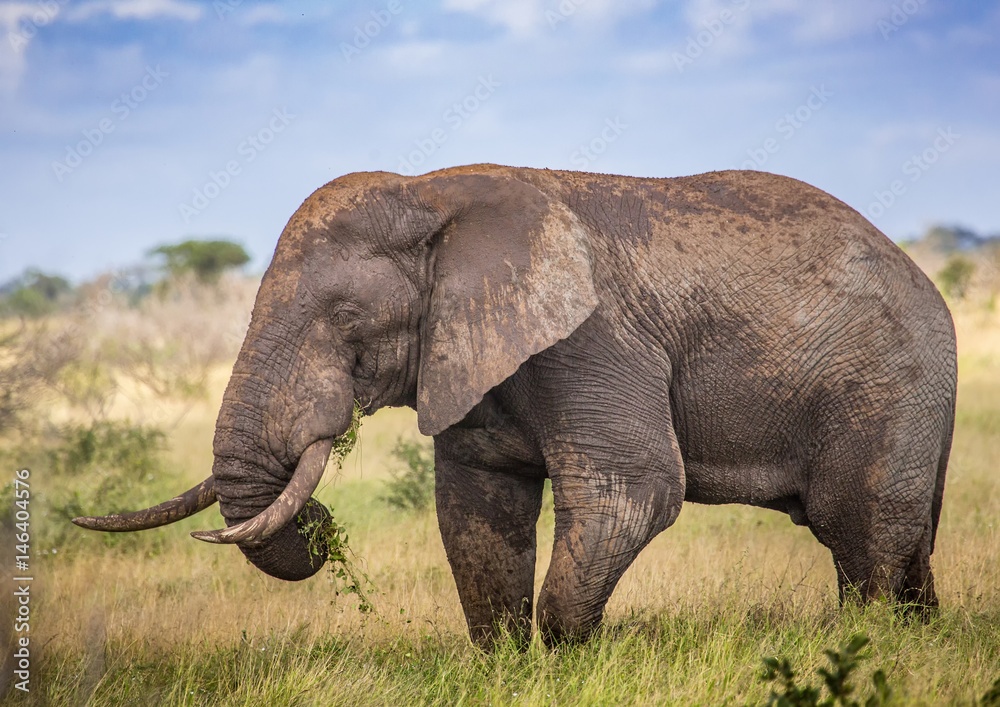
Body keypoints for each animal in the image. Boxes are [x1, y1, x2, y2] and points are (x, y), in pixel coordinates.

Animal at [76, 164, 957, 647]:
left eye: (345, 318)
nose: (324, 522)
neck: (428, 196)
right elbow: (477, 506)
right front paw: (506, 664)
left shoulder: (594, 338)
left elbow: (634, 488)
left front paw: (571, 659)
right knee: (903, 547)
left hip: (884, 386)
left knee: (858, 529)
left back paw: (869, 645)